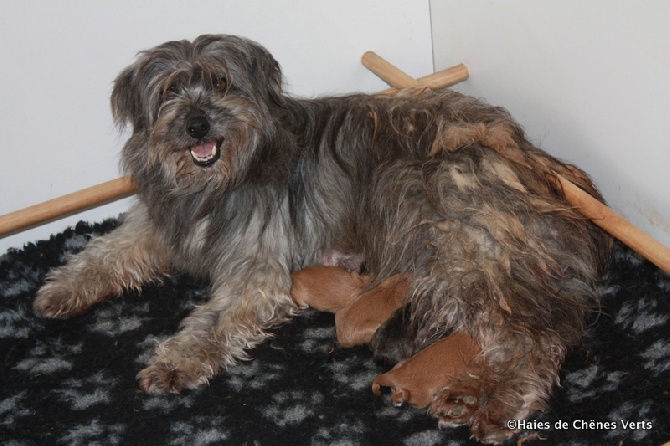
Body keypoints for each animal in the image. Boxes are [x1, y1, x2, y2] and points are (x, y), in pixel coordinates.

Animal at [32, 34, 616, 442]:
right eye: (171, 90)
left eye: (221, 83)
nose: (197, 124)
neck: (220, 177)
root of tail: (531, 156)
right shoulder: (160, 222)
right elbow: (108, 248)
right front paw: (62, 287)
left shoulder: (259, 271)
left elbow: (213, 321)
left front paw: (175, 361)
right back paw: (467, 394)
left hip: (456, 242)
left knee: (529, 337)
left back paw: (497, 404)